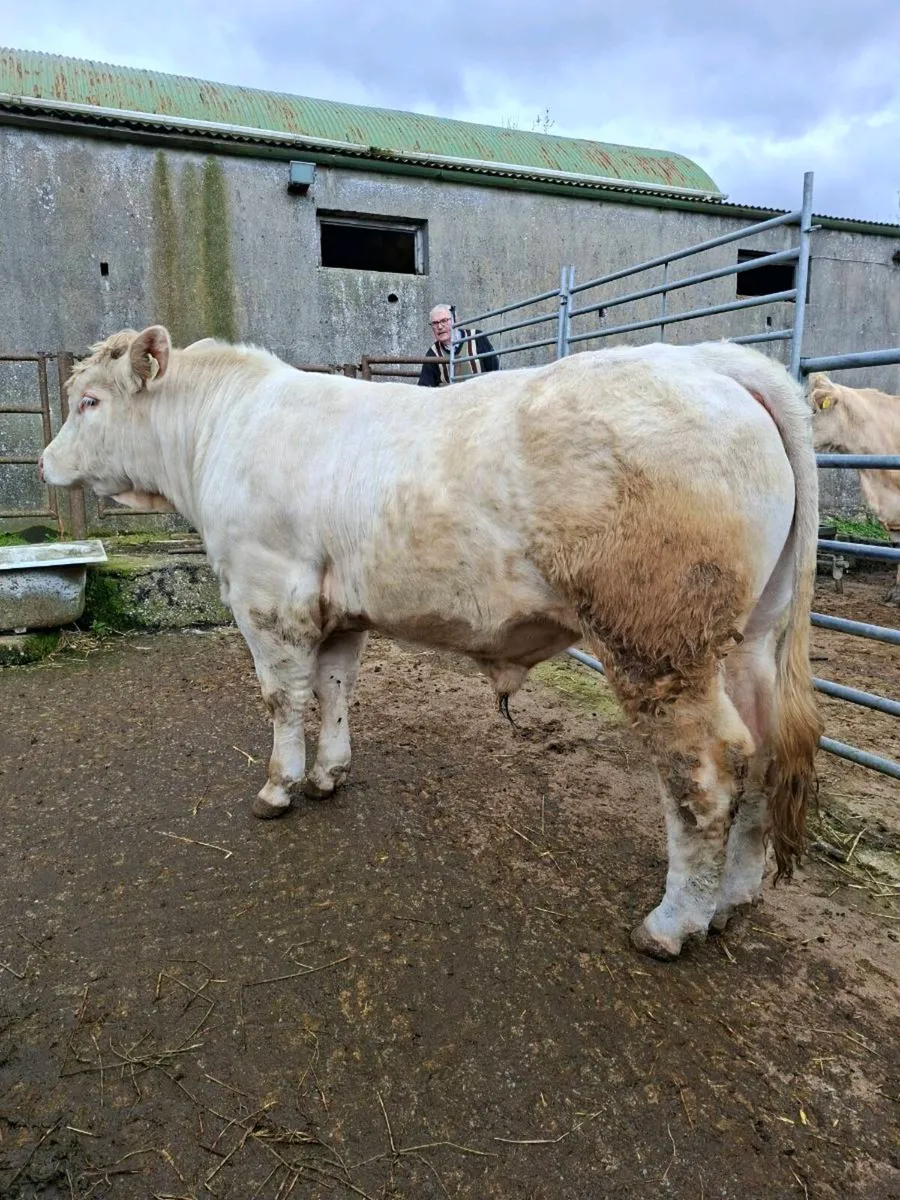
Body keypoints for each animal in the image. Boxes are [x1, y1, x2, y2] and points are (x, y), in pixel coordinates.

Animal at [39, 327, 822, 960]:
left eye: (90, 402)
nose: (45, 461)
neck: (221, 430)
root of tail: (708, 360)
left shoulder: (268, 595)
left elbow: (282, 698)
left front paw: (279, 786)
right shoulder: (339, 612)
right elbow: (334, 689)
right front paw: (329, 774)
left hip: (658, 640)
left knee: (708, 770)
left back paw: (673, 923)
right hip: (750, 637)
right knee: (765, 752)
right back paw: (733, 900)